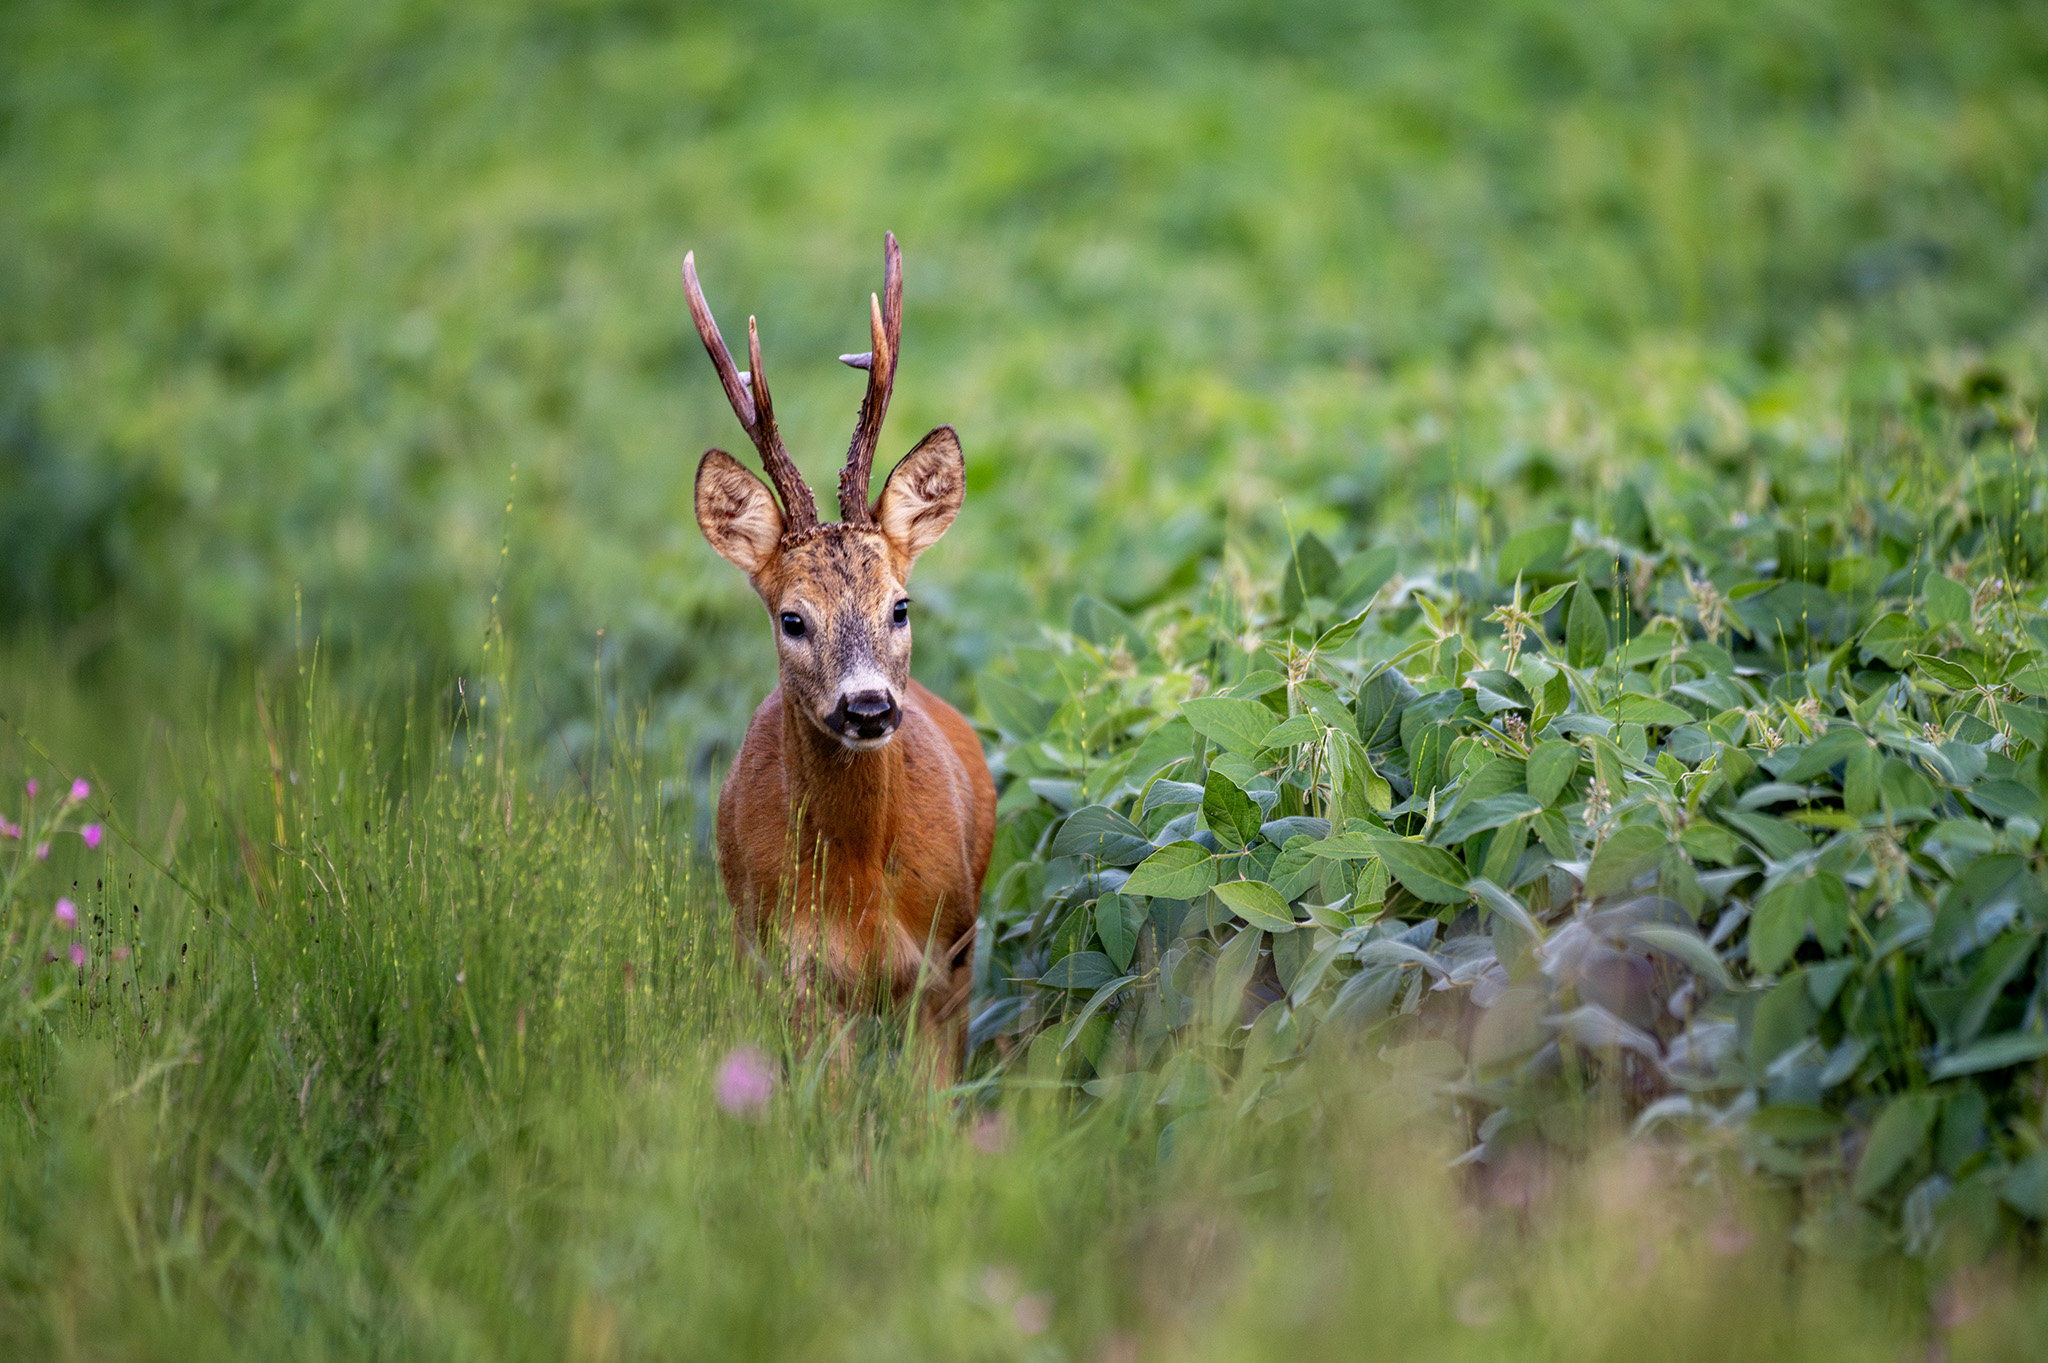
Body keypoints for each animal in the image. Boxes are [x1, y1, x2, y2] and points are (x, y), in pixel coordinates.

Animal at [684, 236, 995, 1080]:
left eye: (901, 606)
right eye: (793, 618)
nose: (868, 706)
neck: (859, 892)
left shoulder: (948, 965)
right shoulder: (795, 977)